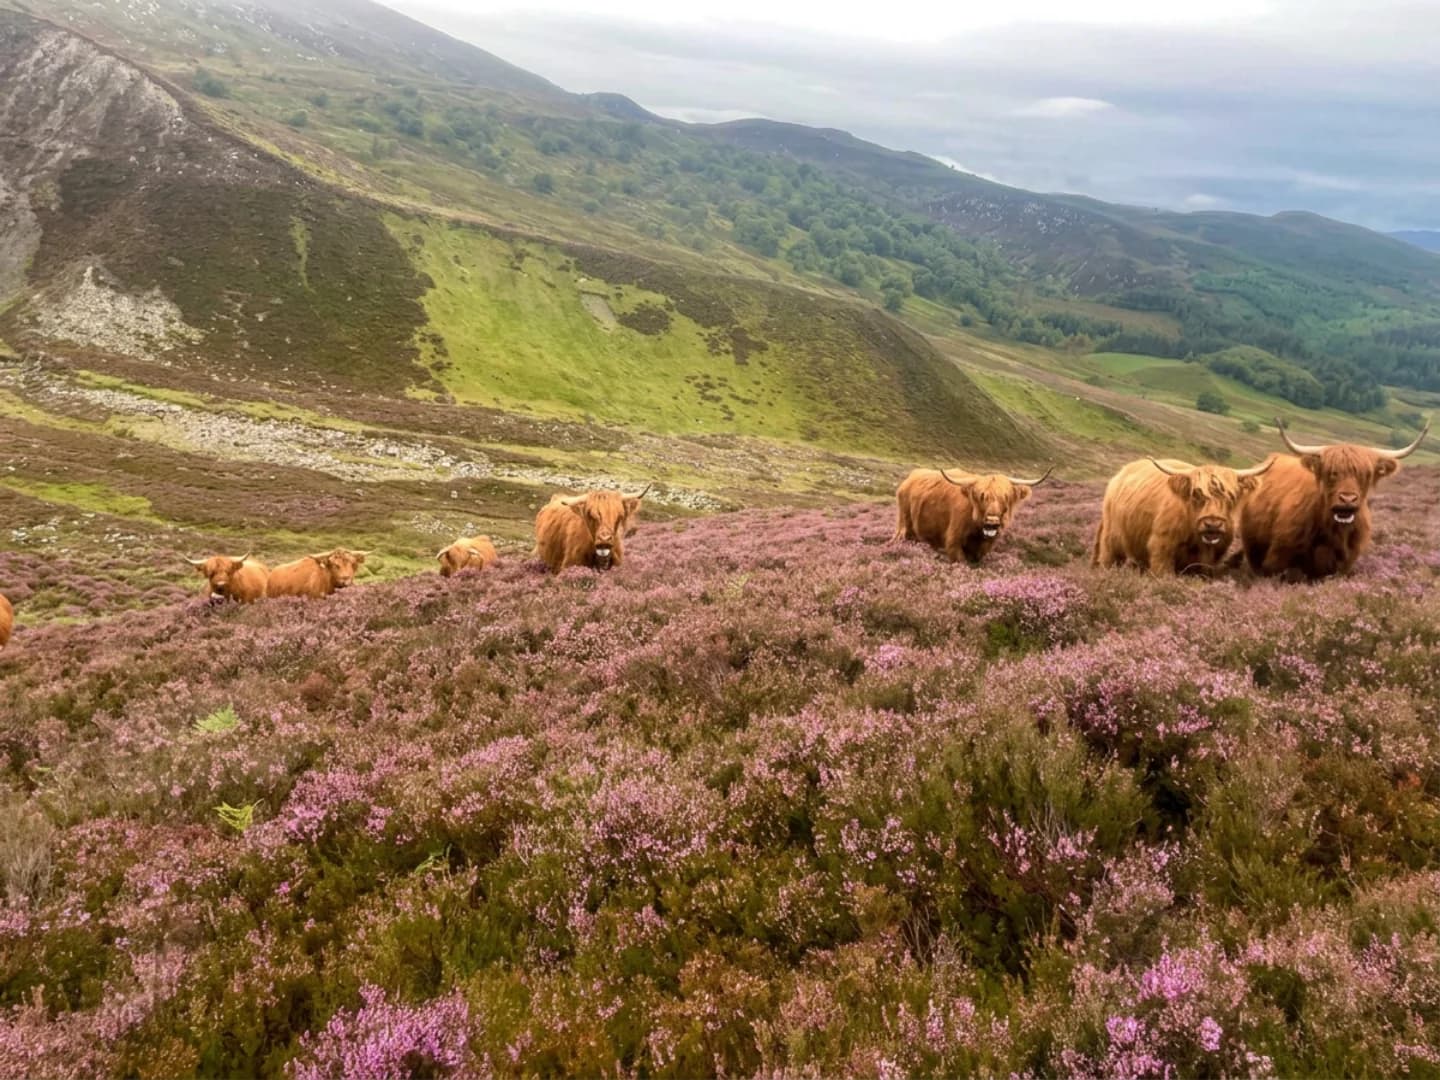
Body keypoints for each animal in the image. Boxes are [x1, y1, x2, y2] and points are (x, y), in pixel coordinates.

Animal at [893, 466, 1051, 564]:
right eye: (982, 496)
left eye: (1005, 497)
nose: (992, 521)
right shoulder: (954, 541)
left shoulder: (984, 547)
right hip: (903, 525)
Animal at [1093, 457, 1273, 575]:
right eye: (1197, 494)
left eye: (1231, 496)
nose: (1213, 525)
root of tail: (1120, 474)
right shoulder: (1161, 548)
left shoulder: (1207, 562)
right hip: (1111, 539)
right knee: (1108, 558)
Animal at [1237, 417, 1430, 580]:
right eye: (1331, 472)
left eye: (1366, 474)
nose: (1347, 499)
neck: (1334, 532)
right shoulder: (1278, 560)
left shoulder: (1341, 566)